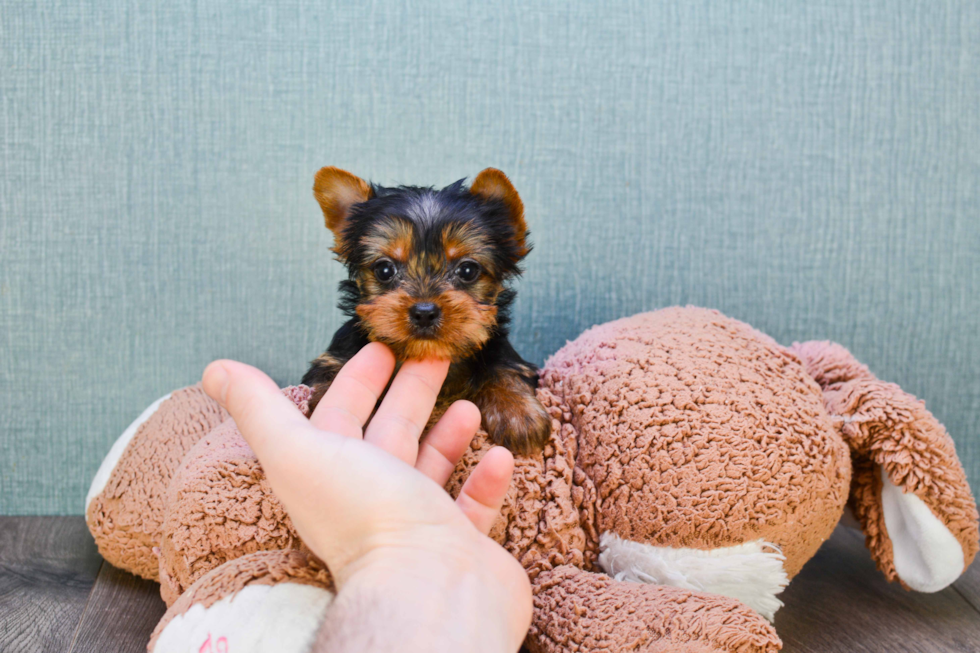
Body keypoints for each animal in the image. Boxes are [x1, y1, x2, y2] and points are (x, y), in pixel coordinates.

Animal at [300, 167, 552, 454]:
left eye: (468, 270)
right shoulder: (335, 356)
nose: (424, 312)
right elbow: (333, 375)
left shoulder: (503, 350)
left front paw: (518, 411)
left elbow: (505, 365)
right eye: (384, 269)